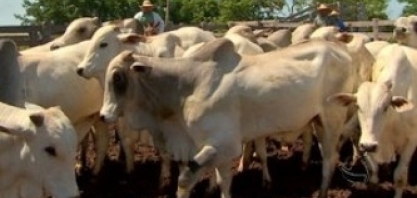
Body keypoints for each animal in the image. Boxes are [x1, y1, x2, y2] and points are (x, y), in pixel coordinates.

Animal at [99, 37, 366, 198]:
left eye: (118, 78)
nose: (103, 115)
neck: (186, 86)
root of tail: (341, 49)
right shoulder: (216, 150)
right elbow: (222, 180)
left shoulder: (223, 145)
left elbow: (186, 179)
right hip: (318, 121)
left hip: (332, 119)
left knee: (330, 159)